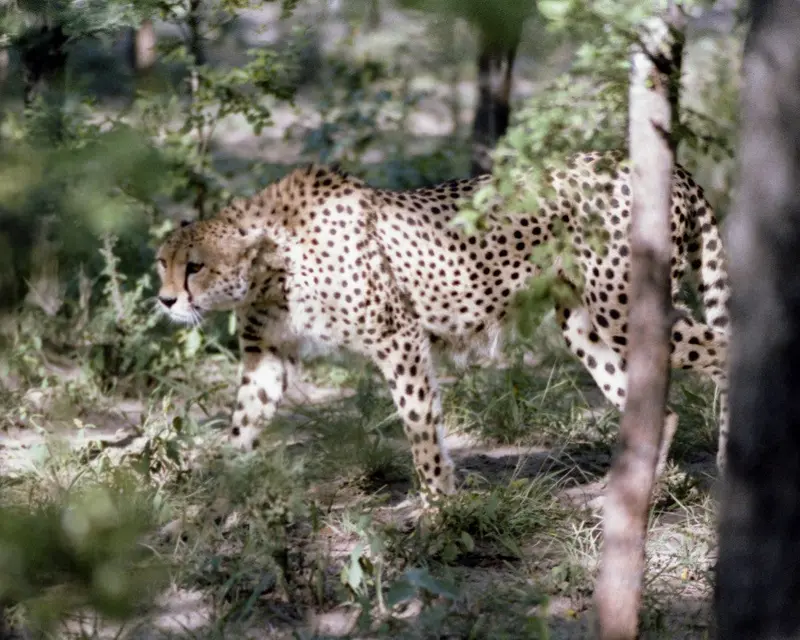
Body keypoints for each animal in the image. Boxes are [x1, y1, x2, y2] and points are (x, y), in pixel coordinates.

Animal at [155, 150, 730, 501]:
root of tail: (673, 168)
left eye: (195, 266)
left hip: (622, 308)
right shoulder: (268, 354)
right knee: (664, 406)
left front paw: (438, 506)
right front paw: (219, 501)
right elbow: (242, 425)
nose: (165, 300)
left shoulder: (398, 337)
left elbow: (420, 426)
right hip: (583, 324)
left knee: (726, 346)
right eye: (162, 262)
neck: (272, 263)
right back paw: (633, 490)